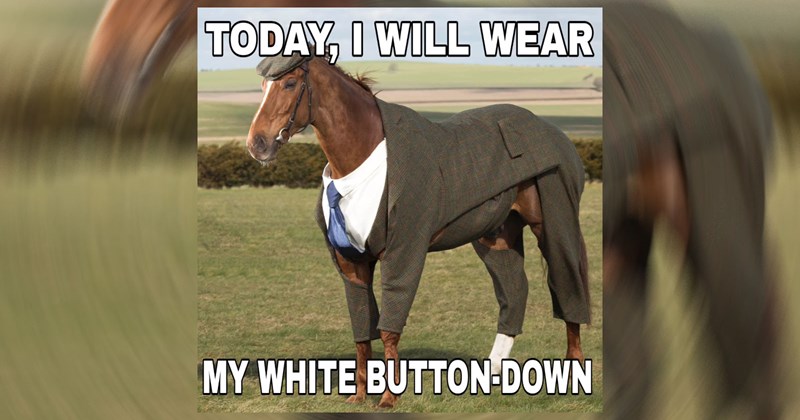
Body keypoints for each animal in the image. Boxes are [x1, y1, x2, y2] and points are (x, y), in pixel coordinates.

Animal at [245, 54, 591, 408]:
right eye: (263, 85)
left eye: (289, 83)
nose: (257, 144)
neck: (363, 158)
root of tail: (557, 135)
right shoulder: (352, 263)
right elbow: (362, 330)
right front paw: (358, 395)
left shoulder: (402, 251)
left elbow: (388, 326)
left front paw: (388, 398)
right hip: (496, 235)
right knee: (515, 291)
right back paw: (492, 373)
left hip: (554, 220)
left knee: (568, 286)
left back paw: (573, 374)